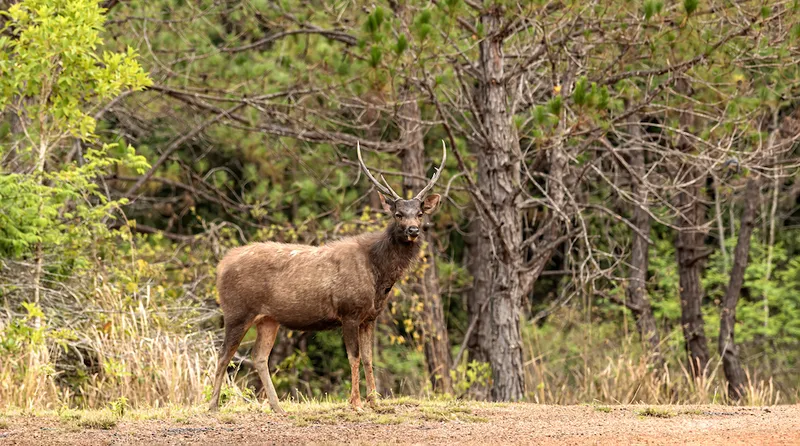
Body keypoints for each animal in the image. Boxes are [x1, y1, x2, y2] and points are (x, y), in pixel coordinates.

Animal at [208, 142, 446, 413]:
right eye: (398, 214)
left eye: (419, 213)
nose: (413, 230)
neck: (378, 274)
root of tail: (221, 266)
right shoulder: (349, 312)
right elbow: (353, 357)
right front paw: (355, 402)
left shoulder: (370, 317)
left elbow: (368, 358)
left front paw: (374, 401)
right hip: (237, 311)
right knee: (224, 353)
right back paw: (213, 406)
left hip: (268, 318)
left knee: (259, 356)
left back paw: (278, 407)